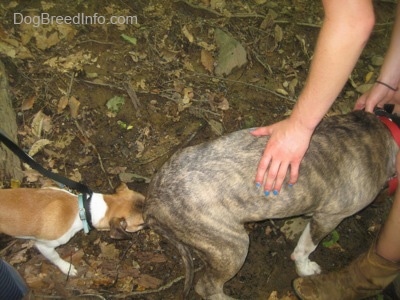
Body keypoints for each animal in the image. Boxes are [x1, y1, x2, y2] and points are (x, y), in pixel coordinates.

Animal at [143, 111, 396, 298]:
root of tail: (153, 197)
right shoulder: (329, 217)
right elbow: (306, 247)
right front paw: (305, 268)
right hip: (233, 247)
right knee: (207, 287)